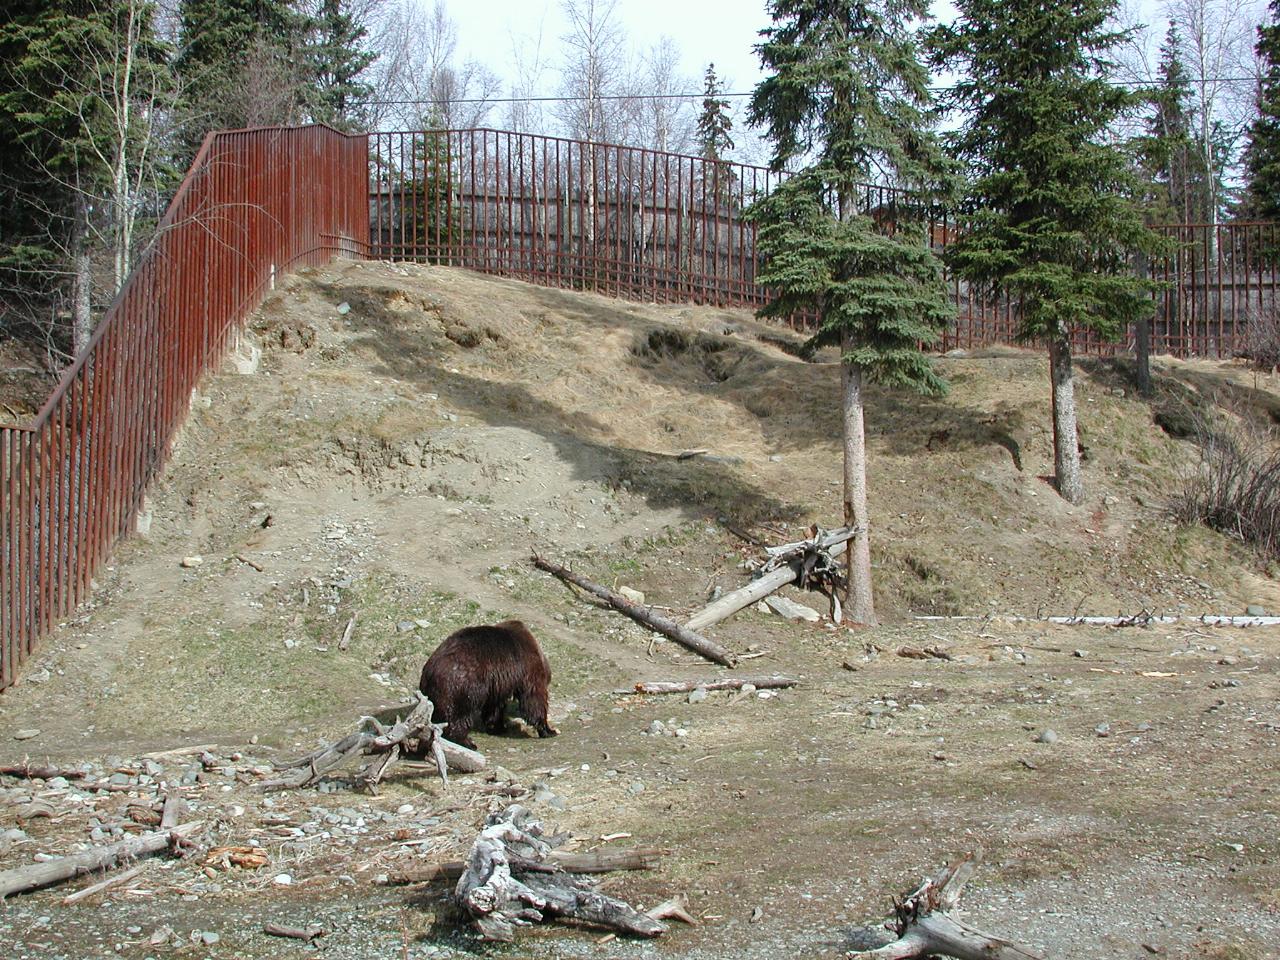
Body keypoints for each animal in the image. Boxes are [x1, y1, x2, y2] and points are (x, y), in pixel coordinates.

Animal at [417, 624, 558, 752]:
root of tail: (429, 671)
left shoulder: (496, 684)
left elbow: (494, 707)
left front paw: (498, 727)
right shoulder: (527, 668)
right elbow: (534, 699)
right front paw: (549, 730)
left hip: (437, 693)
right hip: (463, 685)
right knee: (459, 715)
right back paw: (468, 742)